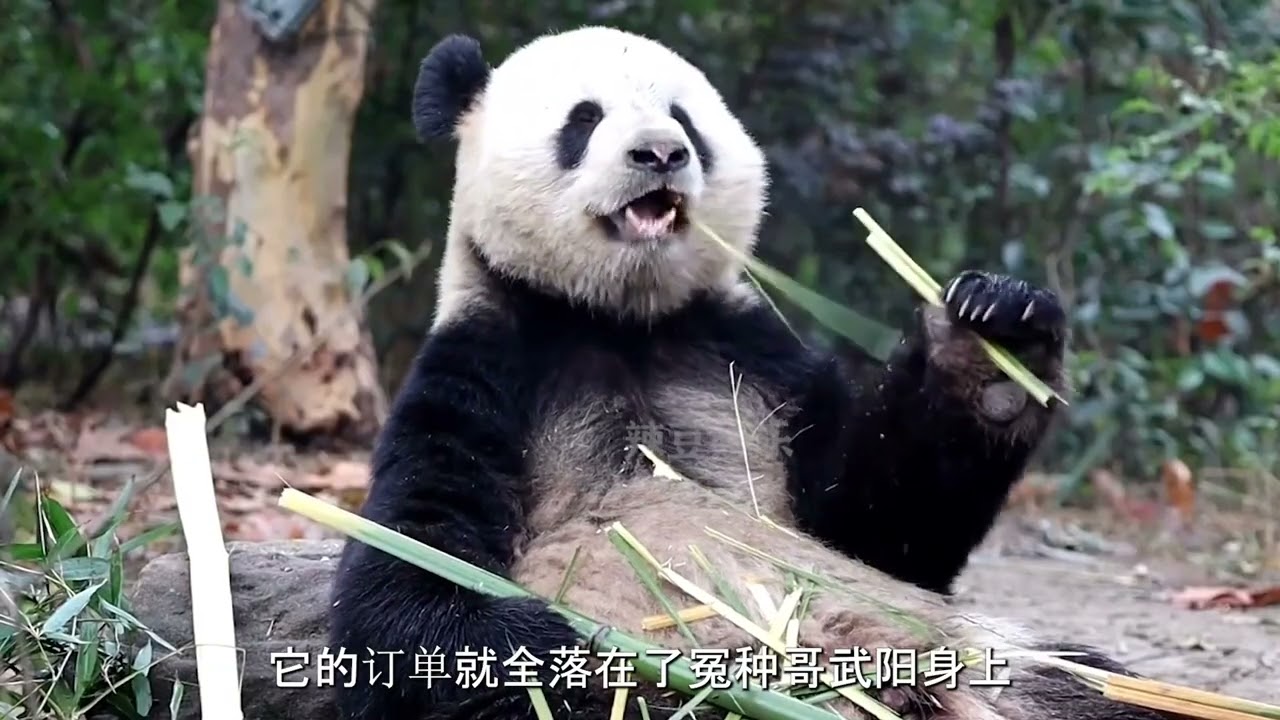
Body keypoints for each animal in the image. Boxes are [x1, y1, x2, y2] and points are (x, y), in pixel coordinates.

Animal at [329, 26, 1171, 720]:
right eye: (584, 119)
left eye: (685, 119)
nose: (661, 153)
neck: (622, 321)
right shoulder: (487, 366)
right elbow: (413, 566)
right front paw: (555, 647)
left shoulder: (754, 361)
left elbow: (880, 525)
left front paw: (995, 343)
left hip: (1010, 670)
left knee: (1101, 692)